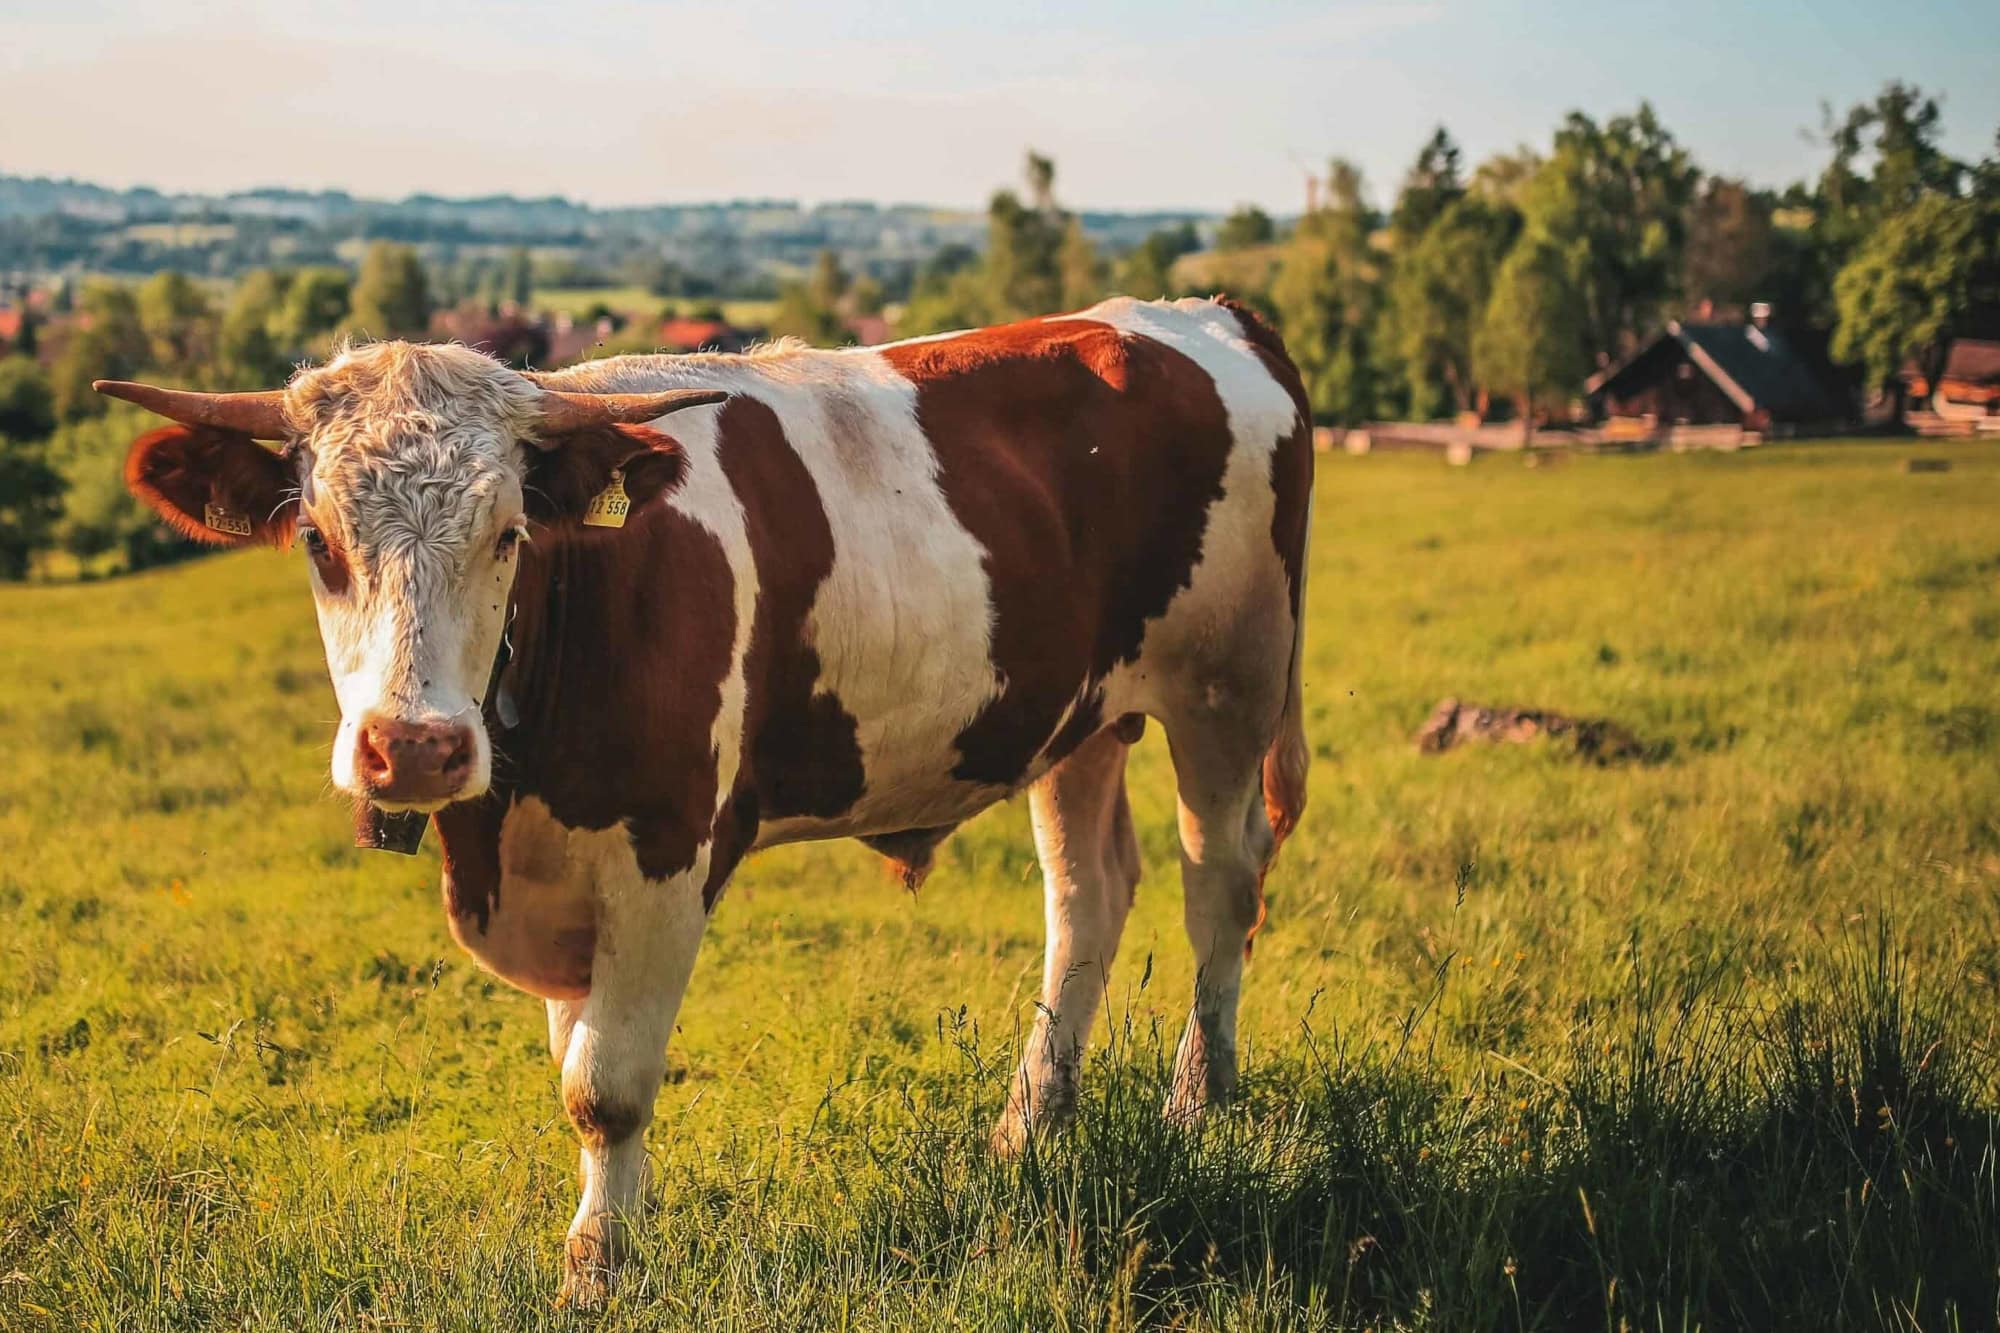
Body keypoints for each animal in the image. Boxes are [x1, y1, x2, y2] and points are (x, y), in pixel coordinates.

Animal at [102, 295, 1313, 1302]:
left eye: (507, 533)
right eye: (318, 540)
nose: (415, 747)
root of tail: (1200, 312)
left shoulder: (665, 852)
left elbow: (606, 1086)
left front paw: (598, 1268)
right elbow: (576, 1059)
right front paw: (610, 1231)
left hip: (1229, 682)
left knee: (1220, 880)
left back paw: (1200, 1098)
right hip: (1079, 718)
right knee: (1086, 894)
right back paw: (1031, 1124)